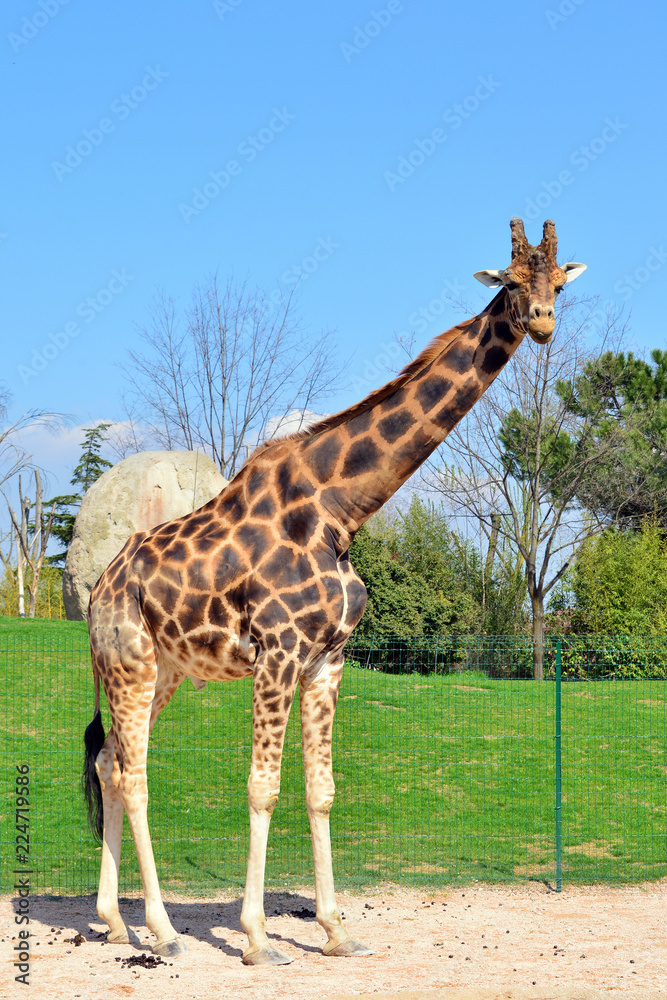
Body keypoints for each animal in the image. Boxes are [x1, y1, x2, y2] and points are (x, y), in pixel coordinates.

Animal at [83, 217, 586, 965]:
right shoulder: (278, 653)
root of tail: (97, 591)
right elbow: (263, 788)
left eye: (557, 282)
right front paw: (258, 938)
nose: (546, 323)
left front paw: (335, 930)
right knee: (134, 774)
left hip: (161, 669)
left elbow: (320, 791)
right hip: (131, 663)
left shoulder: (327, 659)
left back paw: (116, 922)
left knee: (111, 762)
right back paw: (165, 931)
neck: (341, 511)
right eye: (513, 281)